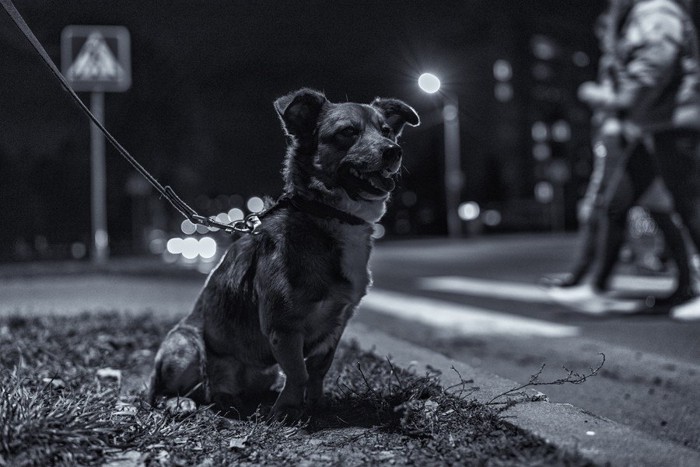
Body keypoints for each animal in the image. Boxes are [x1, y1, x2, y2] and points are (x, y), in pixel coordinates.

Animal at [148, 88, 418, 424]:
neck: (330, 215)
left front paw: (316, 405)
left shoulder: (336, 326)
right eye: (347, 132)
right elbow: (299, 373)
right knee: (165, 392)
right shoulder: (283, 327)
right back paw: (180, 402)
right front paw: (289, 410)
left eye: (387, 131)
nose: (394, 151)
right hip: (185, 345)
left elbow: (317, 371)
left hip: (263, 372)